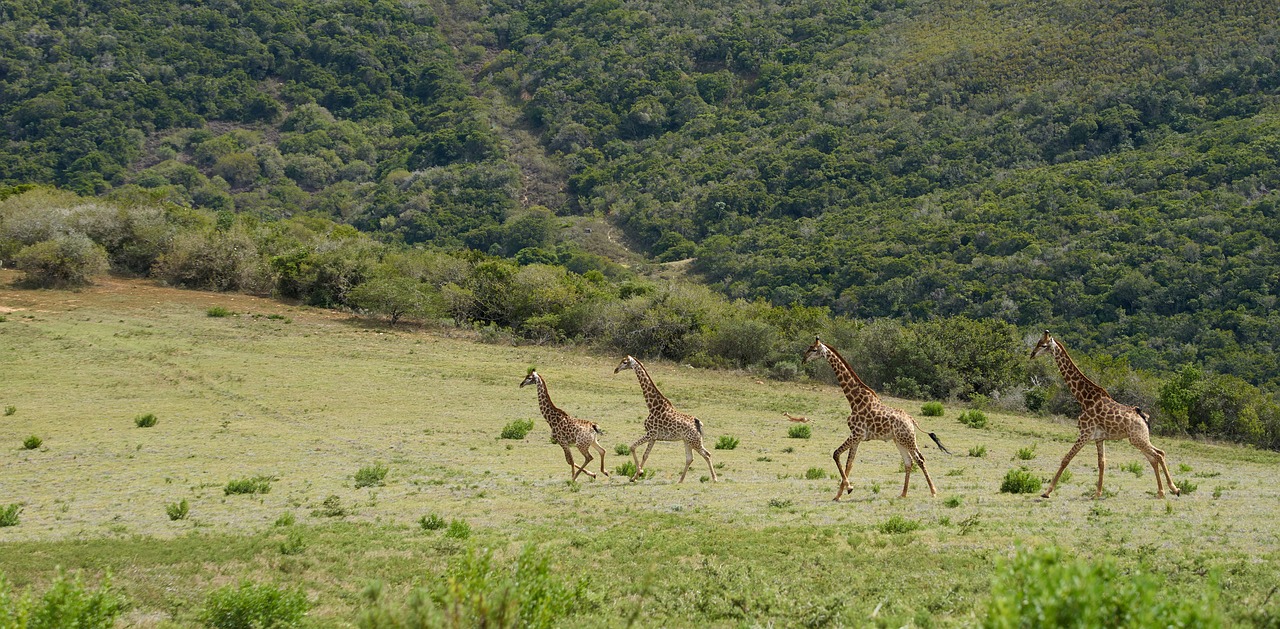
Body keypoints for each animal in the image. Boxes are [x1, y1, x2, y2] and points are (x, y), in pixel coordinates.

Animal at [611, 356, 716, 484]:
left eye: (625, 362)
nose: (616, 369)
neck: (652, 406)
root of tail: (698, 423)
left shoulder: (650, 433)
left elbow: (632, 447)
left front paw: (639, 473)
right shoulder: (653, 437)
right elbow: (645, 455)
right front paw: (635, 476)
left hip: (694, 441)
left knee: (707, 455)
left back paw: (714, 478)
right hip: (687, 441)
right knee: (690, 458)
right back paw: (680, 480)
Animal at [803, 338, 947, 499]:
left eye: (814, 349)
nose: (803, 359)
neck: (854, 401)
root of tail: (911, 419)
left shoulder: (856, 434)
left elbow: (836, 454)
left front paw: (848, 488)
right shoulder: (857, 436)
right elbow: (849, 463)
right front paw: (839, 494)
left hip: (908, 439)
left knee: (920, 459)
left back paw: (933, 491)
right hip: (899, 440)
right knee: (909, 462)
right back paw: (903, 493)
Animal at [1029, 333, 1177, 499]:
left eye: (1043, 345)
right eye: (1038, 342)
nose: (1032, 354)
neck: (1084, 399)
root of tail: (1143, 417)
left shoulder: (1085, 433)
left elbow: (1066, 459)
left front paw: (1047, 492)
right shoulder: (1099, 438)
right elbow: (1101, 463)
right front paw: (1097, 493)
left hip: (1137, 438)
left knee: (1158, 456)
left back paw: (1173, 489)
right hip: (1140, 438)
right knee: (1157, 455)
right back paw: (1163, 491)